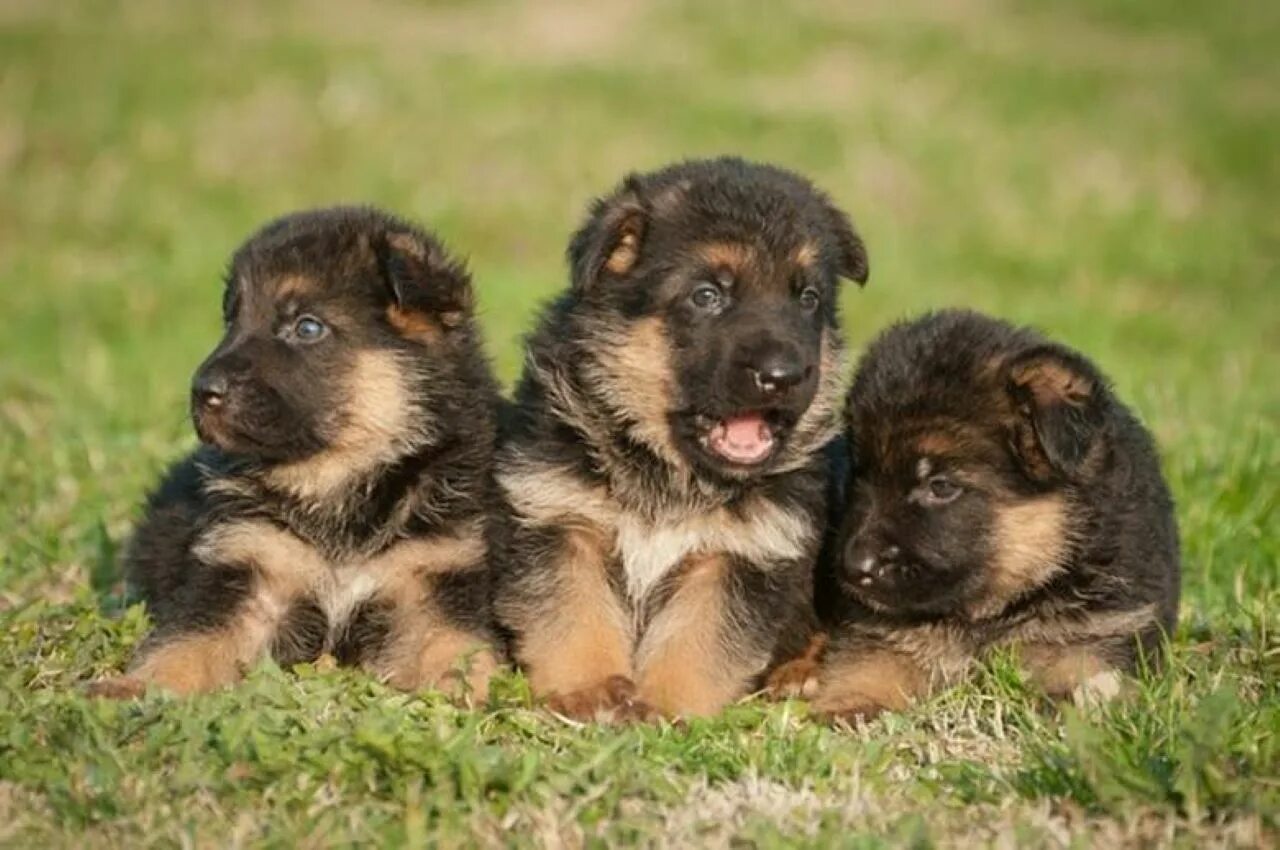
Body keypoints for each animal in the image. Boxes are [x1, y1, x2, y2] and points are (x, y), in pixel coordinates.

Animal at [86, 208, 499, 701]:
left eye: (307, 327)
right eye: (232, 319)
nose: (202, 391)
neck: (338, 482)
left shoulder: (434, 580)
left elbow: (459, 649)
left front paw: (481, 695)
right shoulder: (248, 569)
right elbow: (186, 643)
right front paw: (134, 687)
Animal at [488, 157, 870, 716]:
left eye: (808, 298)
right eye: (707, 295)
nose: (784, 375)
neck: (670, 473)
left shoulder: (742, 556)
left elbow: (700, 639)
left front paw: (663, 707)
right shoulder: (559, 519)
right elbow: (572, 611)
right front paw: (590, 689)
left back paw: (801, 673)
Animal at [808, 308, 1177, 721]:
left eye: (940, 486)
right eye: (859, 473)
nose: (853, 568)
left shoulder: (1094, 630)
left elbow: (1083, 672)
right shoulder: (878, 631)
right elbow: (869, 663)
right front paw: (850, 704)